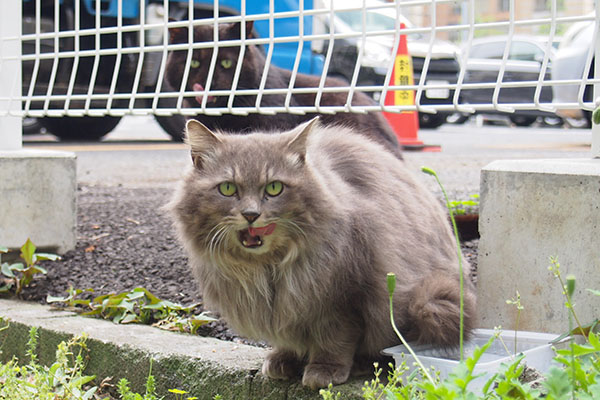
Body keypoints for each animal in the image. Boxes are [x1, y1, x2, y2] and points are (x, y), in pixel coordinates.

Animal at [170, 118, 478, 388]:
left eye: (274, 187)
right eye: (227, 188)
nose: (251, 214)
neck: (269, 268)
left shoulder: (342, 301)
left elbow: (335, 341)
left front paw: (324, 371)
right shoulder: (285, 309)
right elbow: (288, 340)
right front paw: (283, 360)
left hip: (427, 301)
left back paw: (362, 364)